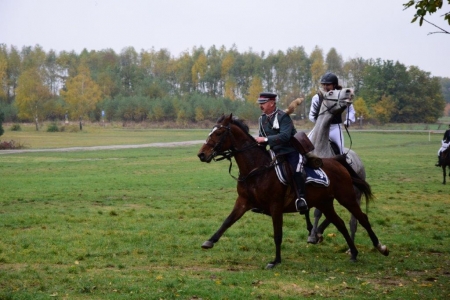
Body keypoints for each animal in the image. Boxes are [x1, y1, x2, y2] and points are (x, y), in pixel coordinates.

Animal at [199, 113, 388, 268]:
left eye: (218, 133)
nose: (201, 154)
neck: (257, 170)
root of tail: (337, 161)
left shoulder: (276, 206)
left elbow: (277, 234)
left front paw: (276, 261)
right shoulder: (243, 202)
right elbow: (227, 221)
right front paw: (209, 241)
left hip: (347, 198)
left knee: (362, 218)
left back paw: (381, 247)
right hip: (325, 203)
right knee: (340, 224)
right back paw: (354, 253)